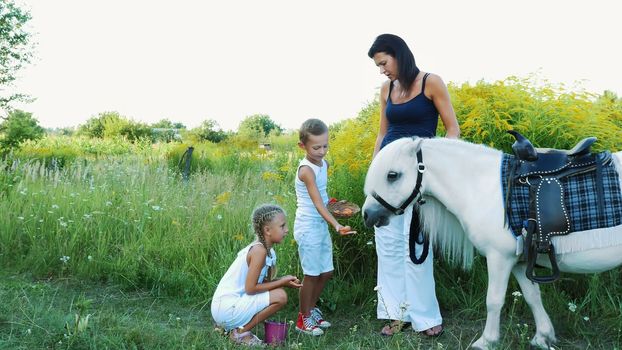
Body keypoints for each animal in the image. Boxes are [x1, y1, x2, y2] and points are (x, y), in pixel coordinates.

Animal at [364, 136, 622, 348]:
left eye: (392, 175)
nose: (368, 215)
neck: (483, 187)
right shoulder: (520, 261)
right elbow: (532, 296)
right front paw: (543, 337)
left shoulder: (500, 258)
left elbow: (494, 301)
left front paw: (486, 341)